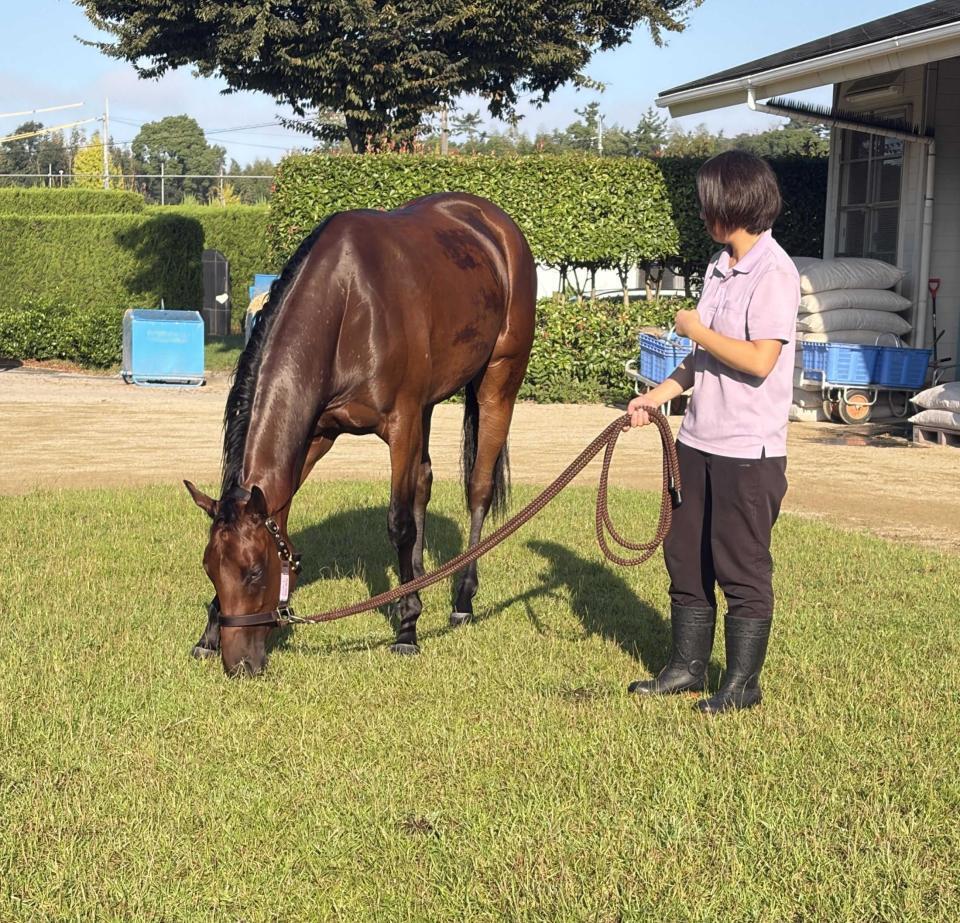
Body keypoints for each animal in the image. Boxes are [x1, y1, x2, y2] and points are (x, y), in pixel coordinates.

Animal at [184, 192, 537, 676]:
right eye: (210, 569)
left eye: (255, 571)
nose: (238, 665)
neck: (350, 303)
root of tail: (496, 224)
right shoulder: (317, 435)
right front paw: (208, 633)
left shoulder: (401, 423)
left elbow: (399, 523)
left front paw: (407, 628)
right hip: (429, 406)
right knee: (423, 482)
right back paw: (419, 577)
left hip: (499, 380)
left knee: (478, 489)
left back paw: (462, 598)